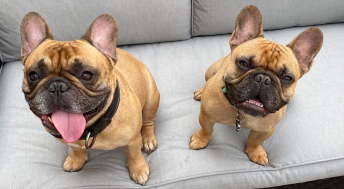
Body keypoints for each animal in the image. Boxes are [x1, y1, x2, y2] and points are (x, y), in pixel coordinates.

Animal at [21, 12, 160, 185]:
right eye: (33, 75)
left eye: (86, 75)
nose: (57, 86)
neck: (90, 129)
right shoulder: (70, 140)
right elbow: (74, 147)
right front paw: (76, 159)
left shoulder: (133, 139)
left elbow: (134, 154)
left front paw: (138, 169)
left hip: (151, 99)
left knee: (148, 122)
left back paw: (148, 140)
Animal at [188, 5, 322, 165]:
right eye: (243, 63)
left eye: (287, 77)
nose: (263, 78)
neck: (242, 113)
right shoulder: (206, 115)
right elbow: (206, 130)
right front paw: (200, 140)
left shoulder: (266, 129)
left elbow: (255, 140)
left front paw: (255, 152)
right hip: (211, 70)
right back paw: (201, 92)